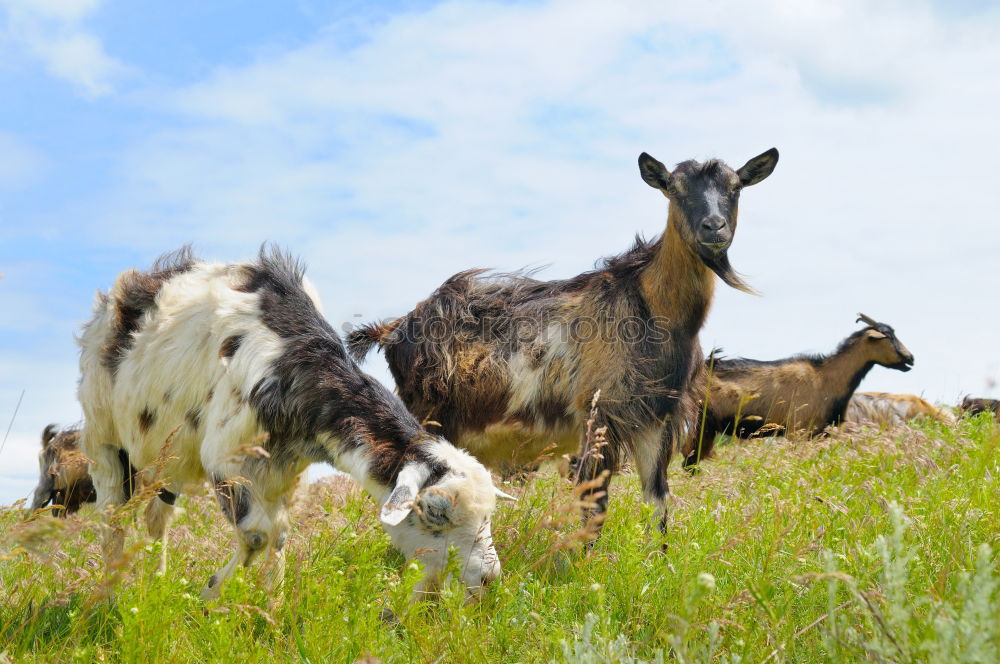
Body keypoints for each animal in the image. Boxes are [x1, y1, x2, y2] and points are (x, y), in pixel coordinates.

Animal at [78, 246, 512, 600]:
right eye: (434, 511)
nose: (487, 579)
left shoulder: (283, 471)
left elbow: (279, 534)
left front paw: (271, 604)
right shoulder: (227, 458)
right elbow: (257, 533)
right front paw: (211, 593)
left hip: (166, 458)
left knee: (157, 516)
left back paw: (154, 582)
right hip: (103, 436)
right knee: (112, 518)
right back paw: (108, 600)